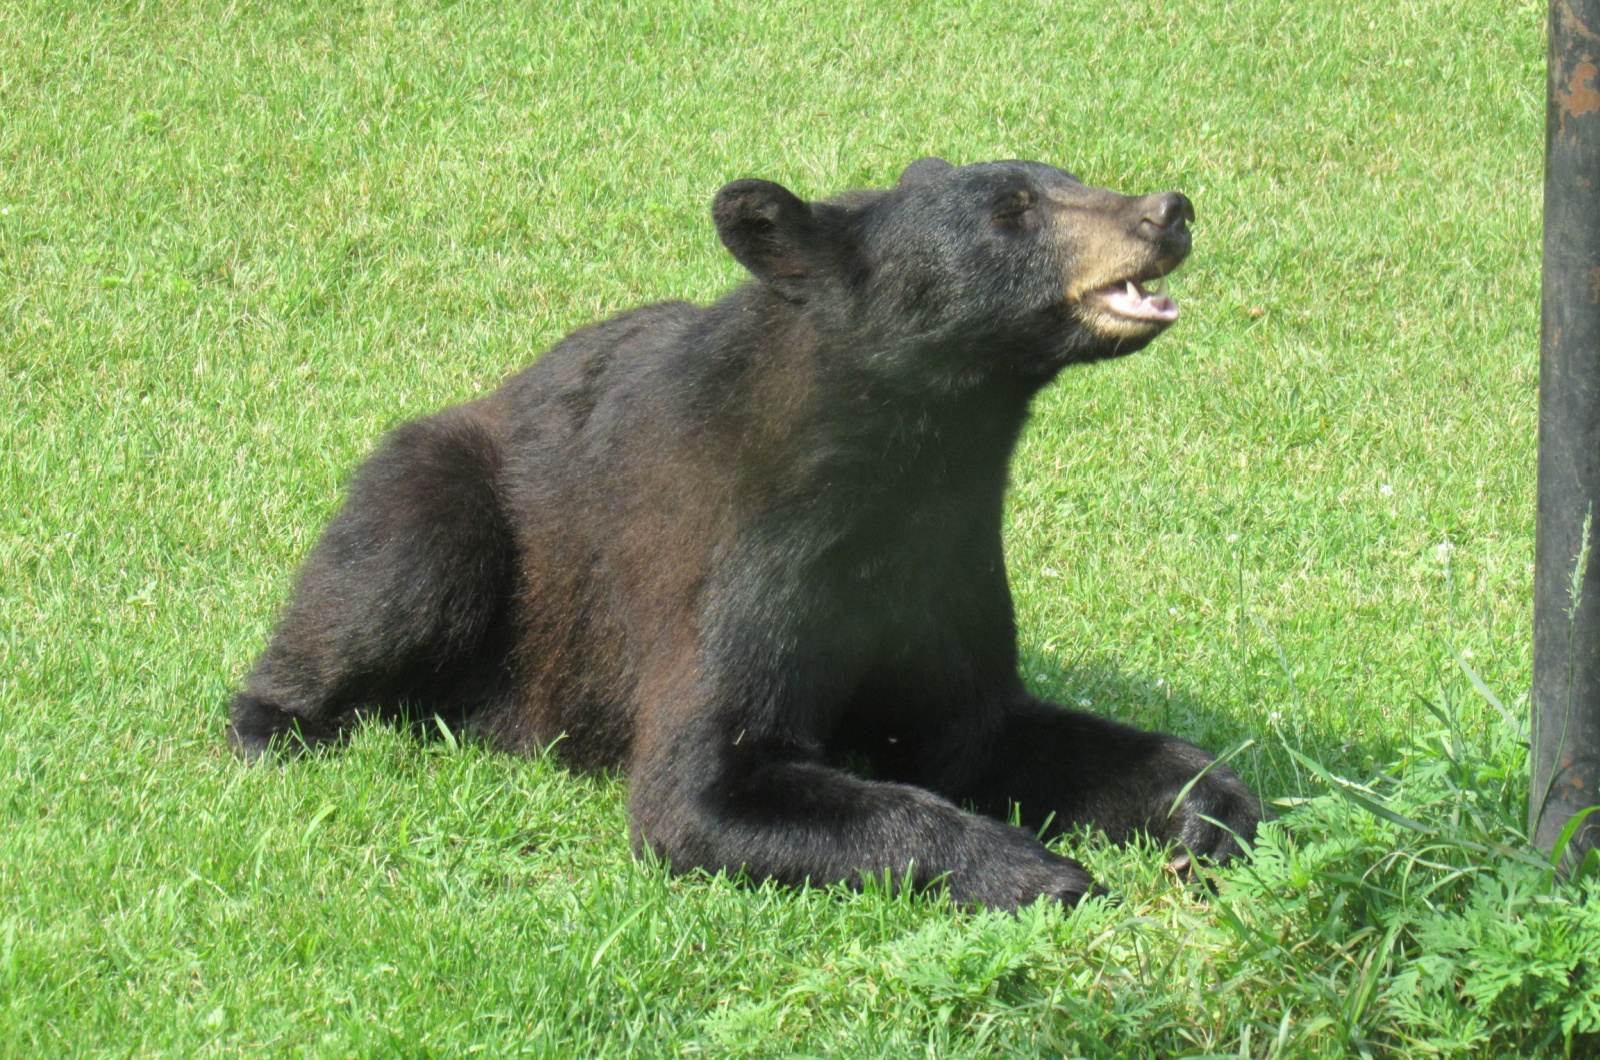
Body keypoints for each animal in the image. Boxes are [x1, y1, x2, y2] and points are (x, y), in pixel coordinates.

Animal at [232, 160, 1267, 915]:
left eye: (1067, 175)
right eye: (1013, 210)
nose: (1168, 210)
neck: (911, 463)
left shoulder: (950, 560)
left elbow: (987, 729)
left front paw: (1212, 813)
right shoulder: (741, 547)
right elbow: (705, 785)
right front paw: (1039, 870)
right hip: (443, 493)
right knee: (390, 583)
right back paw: (275, 725)